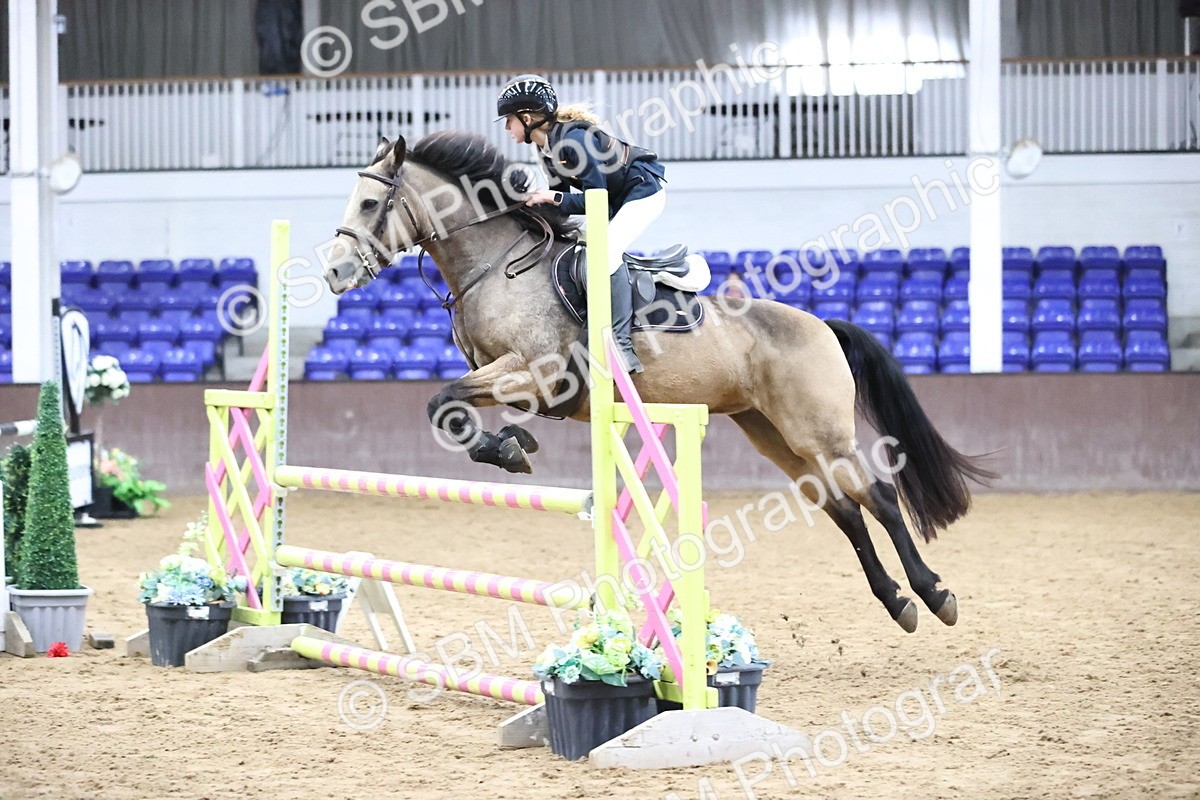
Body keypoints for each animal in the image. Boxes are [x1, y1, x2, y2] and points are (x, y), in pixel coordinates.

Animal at [324, 131, 995, 632]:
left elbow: (444, 403)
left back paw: (934, 595)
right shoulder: (502, 375)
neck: (495, 267)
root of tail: (822, 324)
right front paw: (514, 445)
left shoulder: (539, 373)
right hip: (772, 436)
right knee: (844, 511)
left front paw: (510, 451)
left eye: (369, 205)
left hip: (820, 433)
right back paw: (899, 603)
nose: (332, 273)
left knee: (877, 497)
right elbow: (450, 406)